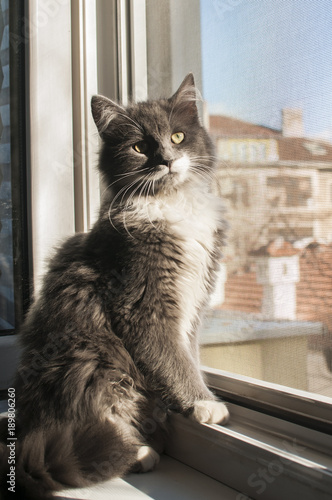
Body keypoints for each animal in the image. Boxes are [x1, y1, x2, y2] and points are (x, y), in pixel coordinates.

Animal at [0, 72, 228, 498]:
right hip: (94, 363)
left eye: (177, 137)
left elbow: (188, 354)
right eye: (140, 147)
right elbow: (174, 361)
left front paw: (197, 397)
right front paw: (204, 403)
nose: (166, 160)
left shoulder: (192, 305)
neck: (172, 204)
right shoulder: (143, 304)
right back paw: (137, 452)